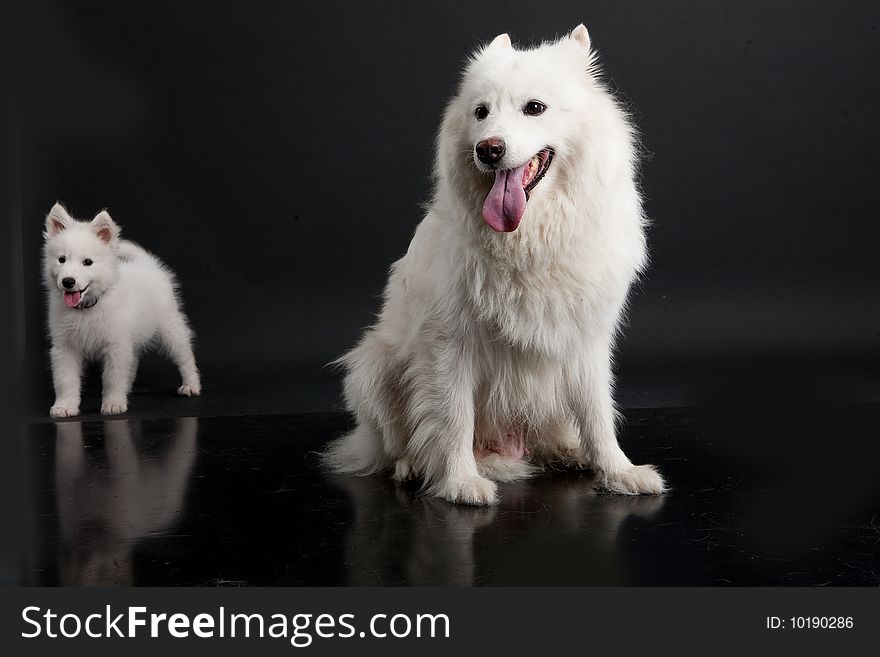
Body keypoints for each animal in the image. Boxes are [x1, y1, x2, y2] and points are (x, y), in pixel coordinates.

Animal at [326, 25, 664, 504]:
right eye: (481, 113)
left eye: (534, 108)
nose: (488, 150)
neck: (531, 239)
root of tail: (504, 448)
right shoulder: (449, 342)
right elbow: (452, 418)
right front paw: (460, 482)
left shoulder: (586, 339)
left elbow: (599, 413)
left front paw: (619, 472)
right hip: (372, 366)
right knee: (397, 445)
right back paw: (415, 467)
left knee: (554, 435)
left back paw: (569, 452)